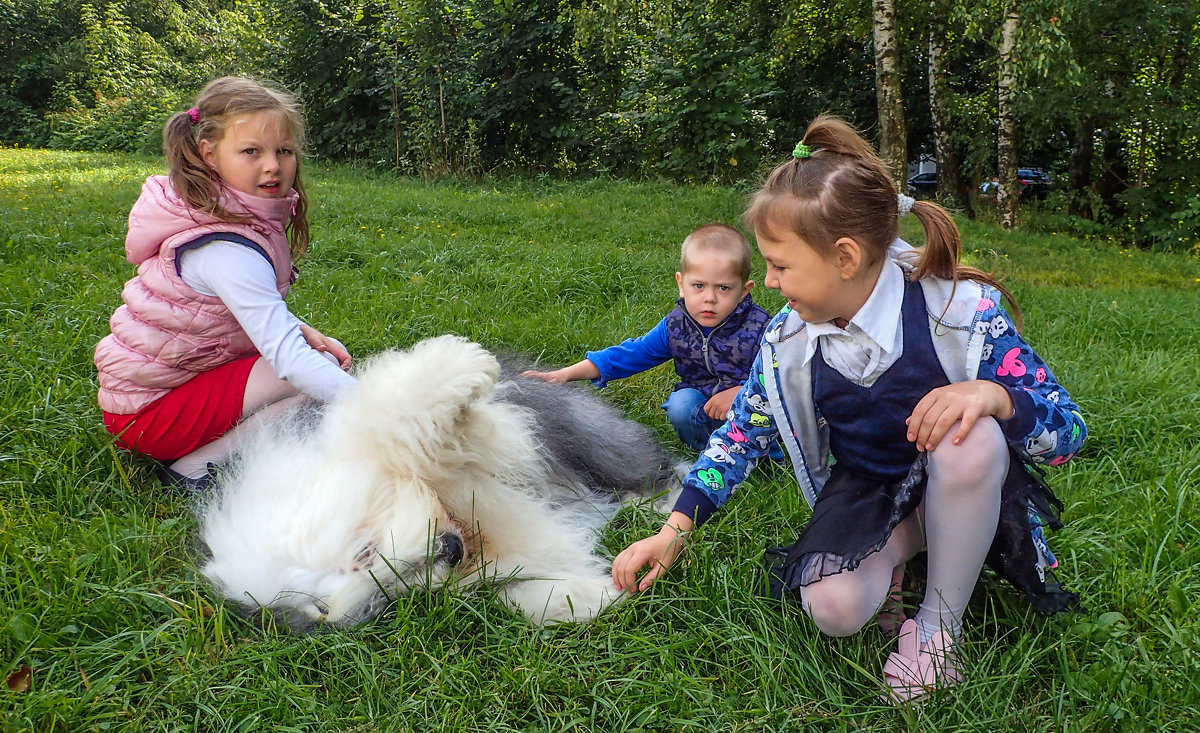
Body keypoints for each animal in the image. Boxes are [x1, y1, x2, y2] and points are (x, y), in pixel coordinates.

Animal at [198, 335, 686, 628]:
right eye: (381, 595)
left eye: (364, 553)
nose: (446, 552)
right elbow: (516, 596)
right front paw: (605, 592)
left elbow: (399, 420)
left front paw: (464, 366)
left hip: (589, 434)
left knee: (652, 469)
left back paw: (663, 504)